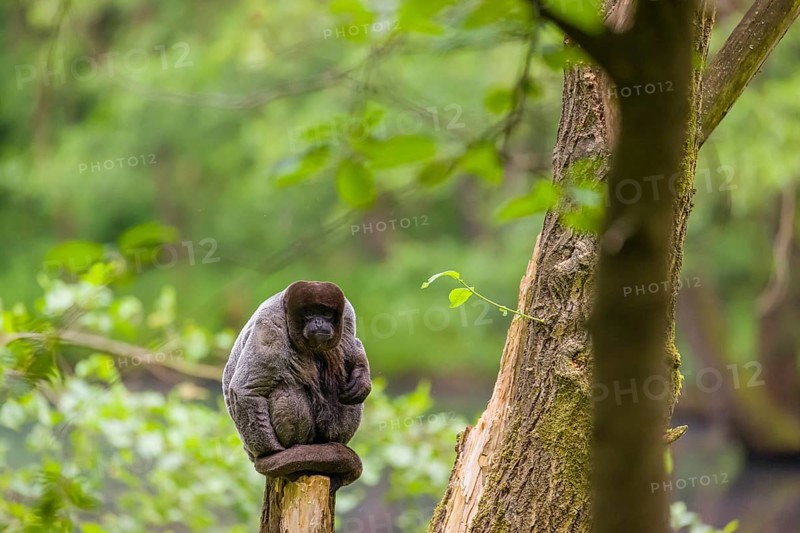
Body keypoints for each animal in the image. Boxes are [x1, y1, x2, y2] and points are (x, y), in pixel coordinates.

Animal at [222, 281, 371, 487]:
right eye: (308, 313)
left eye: (325, 313)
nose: (318, 321)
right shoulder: (270, 329)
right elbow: (245, 390)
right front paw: (272, 456)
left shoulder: (347, 314)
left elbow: (351, 347)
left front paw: (362, 378)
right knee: (288, 389)